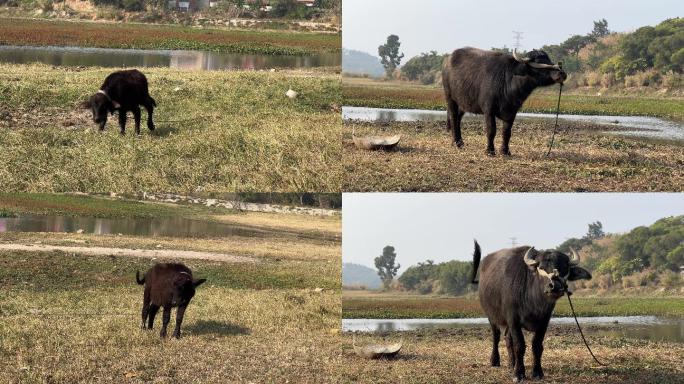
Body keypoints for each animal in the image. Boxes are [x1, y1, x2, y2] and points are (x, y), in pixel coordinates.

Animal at [472, 242, 592, 380]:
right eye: (541, 267)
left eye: (564, 268)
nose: (555, 286)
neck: (534, 302)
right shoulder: (513, 319)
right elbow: (519, 345)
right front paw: (519, 373)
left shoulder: (544, 321)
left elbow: (537, 345)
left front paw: (537, 372)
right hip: (491, 316)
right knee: (496, 336)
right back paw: (495, 361)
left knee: (507, 338)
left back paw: (512, 363)